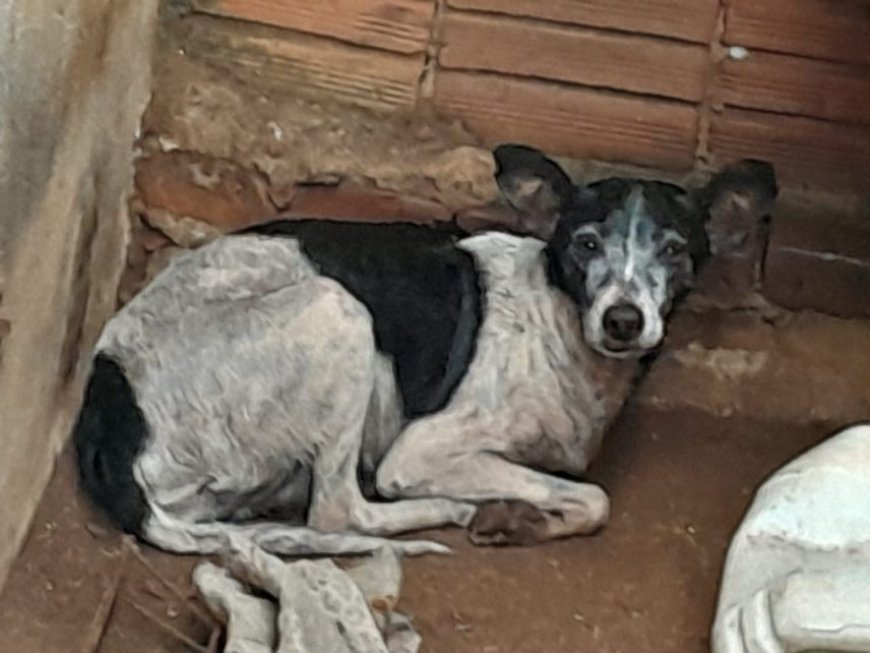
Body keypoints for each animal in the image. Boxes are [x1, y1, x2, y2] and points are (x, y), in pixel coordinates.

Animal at [75, 144, 780, 556]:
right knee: (338, 513)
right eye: (584, 244)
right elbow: (592, 499)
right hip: (341, 314)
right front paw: (517, 516)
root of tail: (109, 398)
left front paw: (520, 517)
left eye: (675, 249)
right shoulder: (423, 450)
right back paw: (447, 509)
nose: (624, 321)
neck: (559, 324)